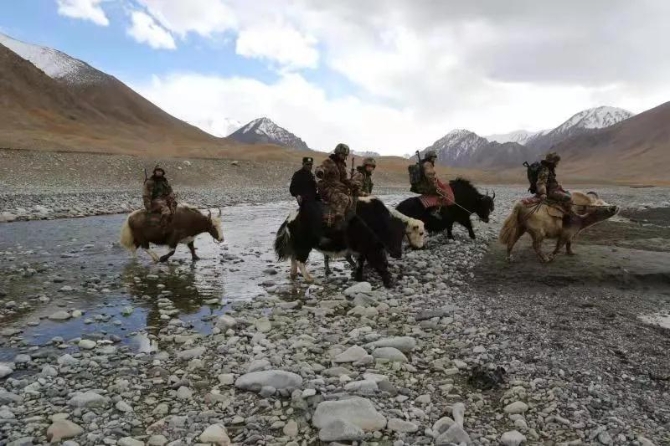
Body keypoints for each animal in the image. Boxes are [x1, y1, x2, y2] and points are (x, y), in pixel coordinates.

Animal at [273, 196, 424, 288]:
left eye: (403, 233)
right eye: (420, 233)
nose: (398, 254)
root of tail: (291, 217)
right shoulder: (367, 245)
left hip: (298, 244)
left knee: (293, 258)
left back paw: (294, 275)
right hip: (304, 245)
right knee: (300, 260)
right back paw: (309, 278)